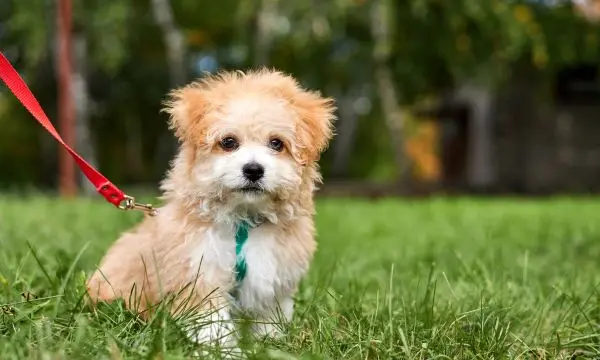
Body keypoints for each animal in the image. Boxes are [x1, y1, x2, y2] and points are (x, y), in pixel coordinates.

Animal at [86, 69, 336, 352]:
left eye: (276, 143)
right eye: (228, 142)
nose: (253, 170)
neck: (243, 220)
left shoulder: (272, 278)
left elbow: (268, 317)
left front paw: (269, 344)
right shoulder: (199, 274)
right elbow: (211, 322)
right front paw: (222, 351)